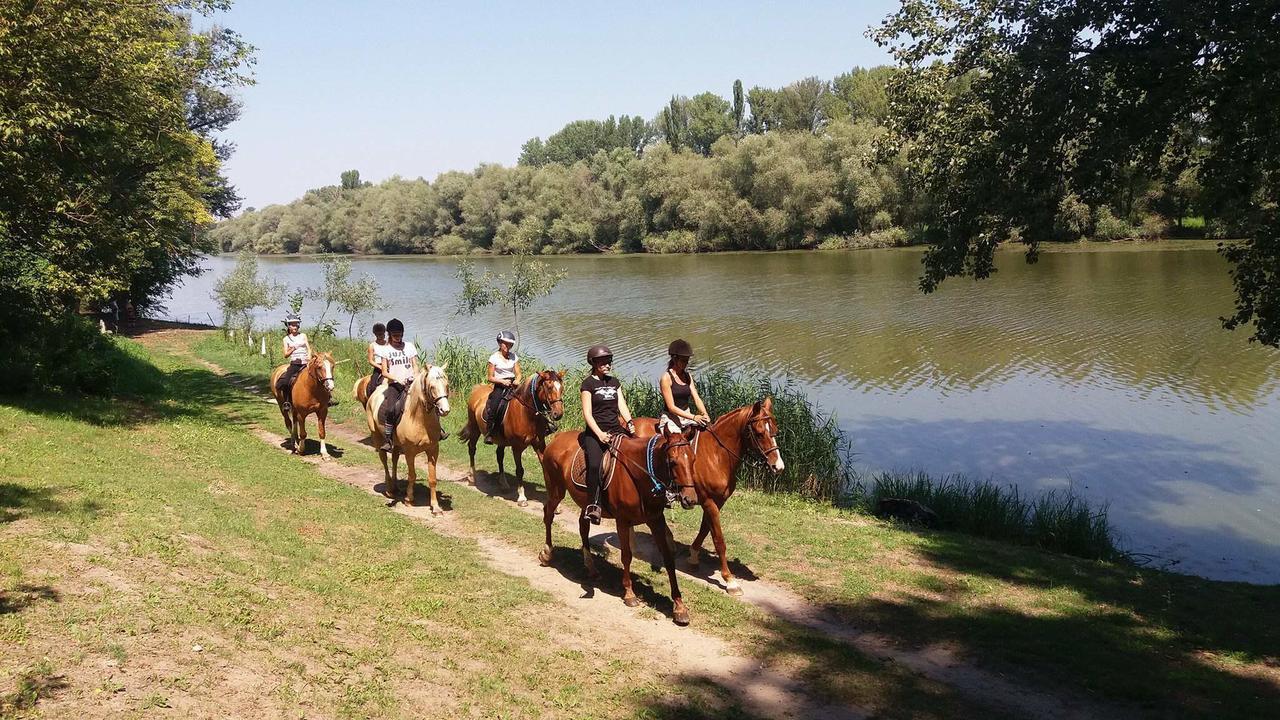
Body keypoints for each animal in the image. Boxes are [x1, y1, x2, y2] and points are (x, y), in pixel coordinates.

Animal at [363, 363, 453, 509]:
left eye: (447, 385)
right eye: (432, 386)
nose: (444, 410)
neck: (419, 419)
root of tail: (375, 393)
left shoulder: (433, 450)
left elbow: (432, 478)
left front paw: (435, 506)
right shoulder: (410, 452)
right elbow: (412, 475)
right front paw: (409, 499)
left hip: (396, 444)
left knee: (394, 459)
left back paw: (395, 487)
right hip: (377, 437)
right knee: (384, 460)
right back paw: (390, 489)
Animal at [458, 368, 563, 504]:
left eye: (561, 388)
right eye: (549, 387)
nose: (558, 414)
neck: (527, 414)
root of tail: (477, 389)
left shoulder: (539, 444)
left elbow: (545, 467)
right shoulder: (516, 447)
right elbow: (519, 470)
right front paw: (522, 497)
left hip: (500, 439)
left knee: (499, 456)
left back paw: (503, 483)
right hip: (475, 428)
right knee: (472, 449)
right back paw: (472, 477)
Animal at [540, 425, 701, 622]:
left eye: (693, 459)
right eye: (672, 462)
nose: (690, 499)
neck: (639, 473)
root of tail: (558, 437)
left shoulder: (656, 520)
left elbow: (668, 559)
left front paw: (679, 607)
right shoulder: (623, 521)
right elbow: (626, 556)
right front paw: (630, 594)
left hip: (584, 502)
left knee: (583, 527)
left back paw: (591, 568)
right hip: (556, 490)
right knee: (548, 515)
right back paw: (547, 553)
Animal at [634, 394, 783, 591]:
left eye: (775, 430)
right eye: (759, 433)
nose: (778, 466)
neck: (717, 454)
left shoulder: (716, 501)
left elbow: (705, 529)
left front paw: (693, 556)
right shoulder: (709, 502)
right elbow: (719, 539)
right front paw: (729, 580)